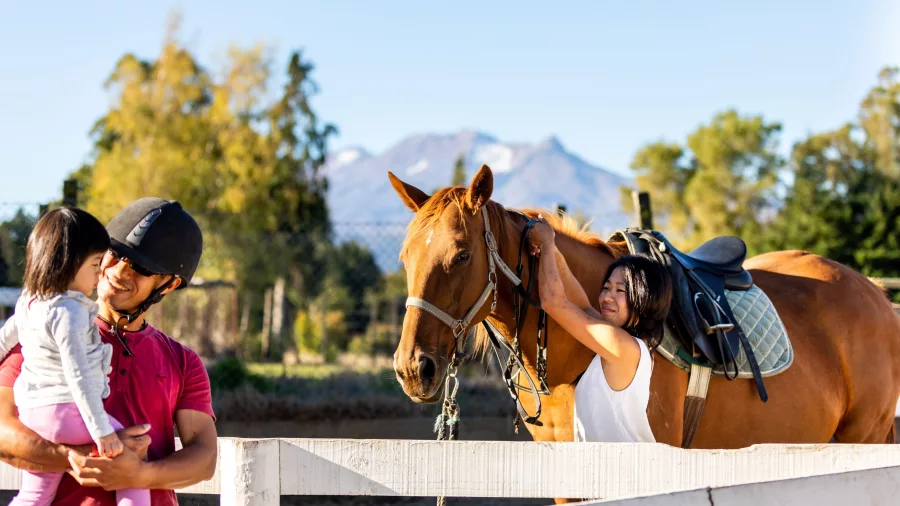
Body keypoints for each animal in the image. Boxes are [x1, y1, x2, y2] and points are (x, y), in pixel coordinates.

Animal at [389, 164, 900, 500]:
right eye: (404, 256)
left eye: (461, 255)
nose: (414, 369)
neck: (575, 356)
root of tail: (875, 294)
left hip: (861, 440)